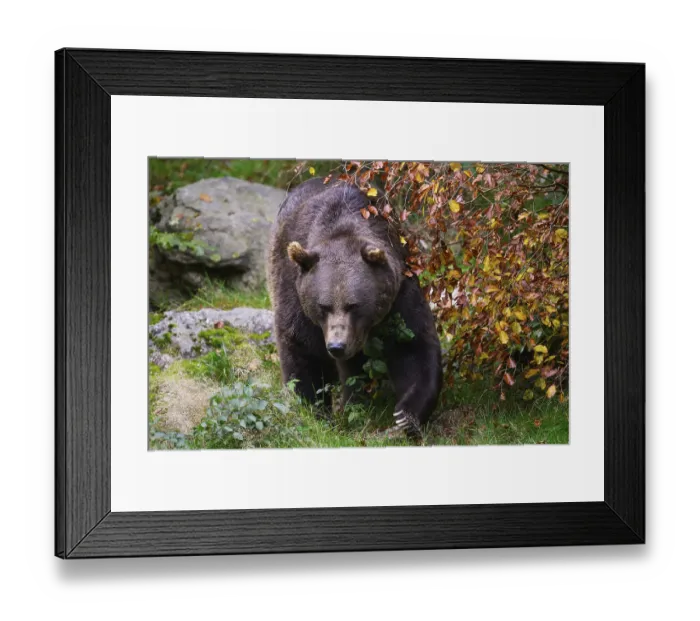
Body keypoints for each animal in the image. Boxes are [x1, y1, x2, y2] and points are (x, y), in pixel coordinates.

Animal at [267, 177, 442, 436]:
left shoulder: (399, 291)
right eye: (323, 306)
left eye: (354, 305)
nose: (337, 346)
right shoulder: (295, 290)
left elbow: (413, 344)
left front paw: (405, 415)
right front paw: (313, 409)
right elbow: (302, 347)